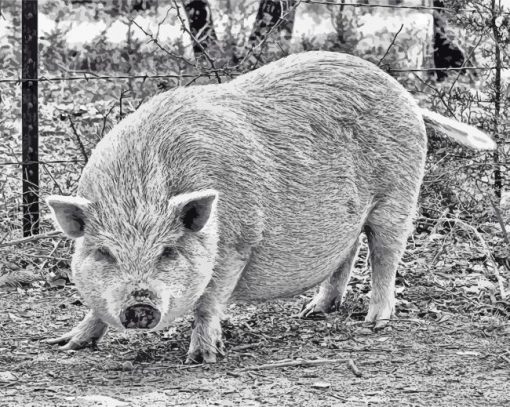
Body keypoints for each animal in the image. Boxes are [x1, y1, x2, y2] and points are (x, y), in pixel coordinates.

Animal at [45, 50, 496, 364]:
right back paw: (311, 312)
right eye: (104, 253)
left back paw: (375, 322)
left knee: (385, 256)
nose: (140, 305)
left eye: (168, 251)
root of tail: (407, 96)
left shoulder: (238, 243)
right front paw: (65, 344)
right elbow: (94, 309)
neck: (139, 187)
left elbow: (209, 302)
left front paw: (201, 358)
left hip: (398, 195)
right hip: (353, 214)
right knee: (348, 251)